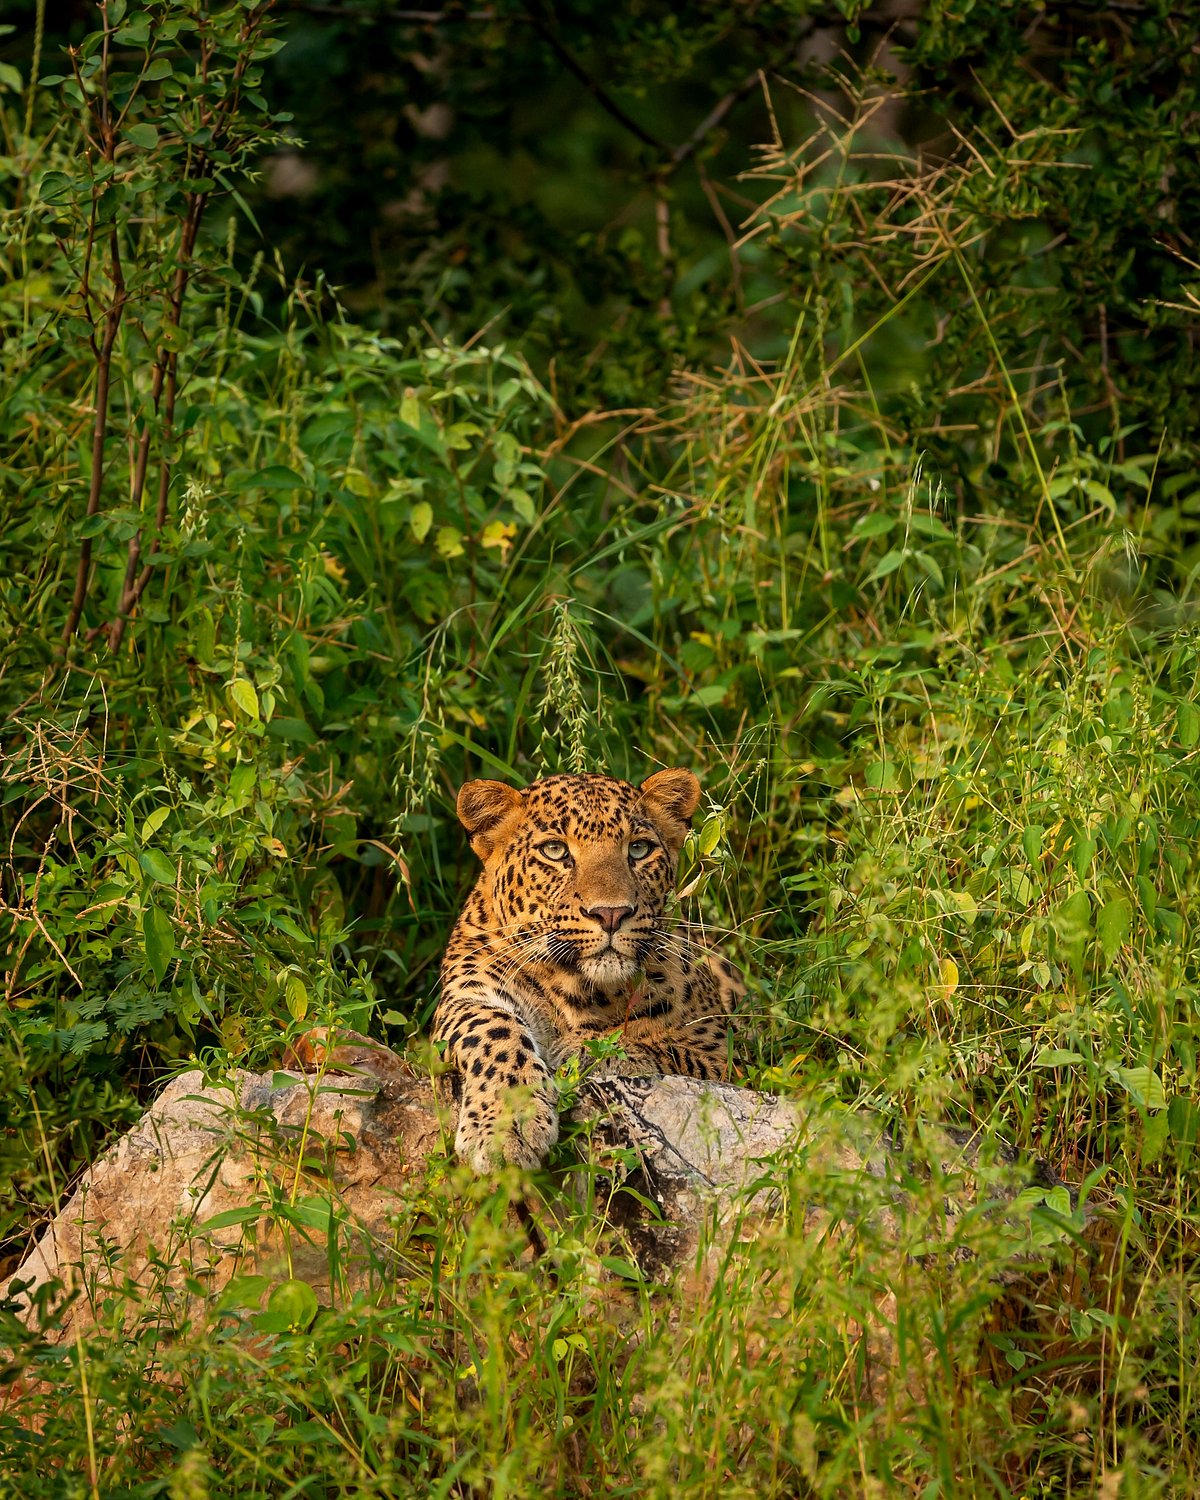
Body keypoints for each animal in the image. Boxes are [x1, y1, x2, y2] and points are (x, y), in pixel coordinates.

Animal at [433, 767, 744, 1174]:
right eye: (555, 851)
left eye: (638, 849)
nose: (611, 914)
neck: (587, 988)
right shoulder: (468, 991)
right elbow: (493, 1032)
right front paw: (508, 1128)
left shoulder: (723, 1053)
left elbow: (661, 1050)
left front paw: (584, 1050)